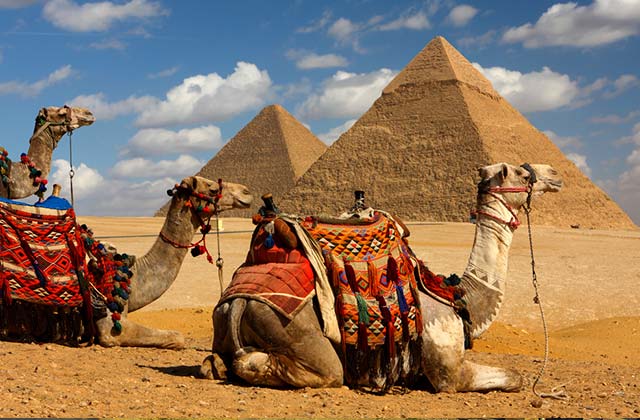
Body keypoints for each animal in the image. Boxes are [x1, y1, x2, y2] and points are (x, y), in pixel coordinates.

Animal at [201, 162, 563, 392]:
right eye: (520, 172)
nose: (555, 173)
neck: (459, 295)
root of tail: (237, 301)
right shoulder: (447, 371)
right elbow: (515, 377)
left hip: (223, 324)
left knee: (214, 362)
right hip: (295, 333)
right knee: (313, 370)